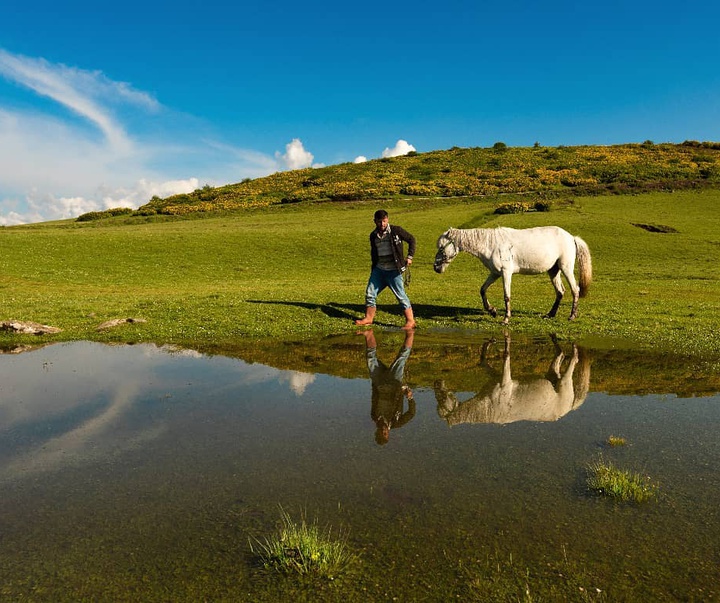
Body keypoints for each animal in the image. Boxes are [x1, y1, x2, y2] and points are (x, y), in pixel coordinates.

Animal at [434, 225, 592, 324]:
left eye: (441, 248)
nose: (436, 268)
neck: (491, 245)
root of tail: (571, 237)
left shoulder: (506, 273)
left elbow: (506, 296)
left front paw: (506, 319)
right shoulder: (495, 273)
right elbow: (482, 290)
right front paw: (492, 311)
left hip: (566, 268)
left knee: (575, 290)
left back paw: (572, 316)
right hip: (553, 271)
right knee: (560, 291)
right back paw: (550, 314)